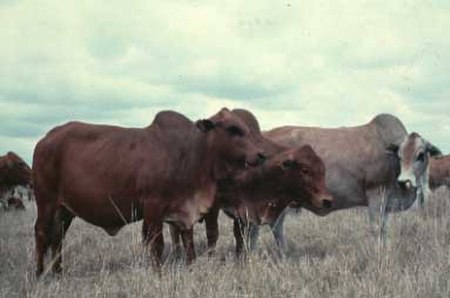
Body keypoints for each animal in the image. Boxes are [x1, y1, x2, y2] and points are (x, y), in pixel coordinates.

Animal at [35, 108, 268, 276]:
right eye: (233, 129)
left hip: (65, 211)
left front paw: (192, 268)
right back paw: (40, 274)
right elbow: (157, 245)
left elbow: (189, 244)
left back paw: (58, 272)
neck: (190, 153)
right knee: (42, 233)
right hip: (46, 201)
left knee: (57, 238)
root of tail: (46, 138)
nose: (262, 154)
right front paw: (158, 274)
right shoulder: (153, 207)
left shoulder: (184, 212)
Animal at [169, 109, 330, 258]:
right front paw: (211, 258)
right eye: (305, 170)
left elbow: (240, 235)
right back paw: (176, 253)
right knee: (175, 229)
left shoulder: (242, 209)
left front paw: (240, 257)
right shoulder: (214, 205)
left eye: (323, 170)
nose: (326, 200)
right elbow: (213, 233)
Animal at [248, 112, 416, 249]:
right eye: (401, 156)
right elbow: (377, 228)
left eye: (420, 155)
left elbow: (384, 229)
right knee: (260, 227)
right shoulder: (376, 193)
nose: (407, 180)